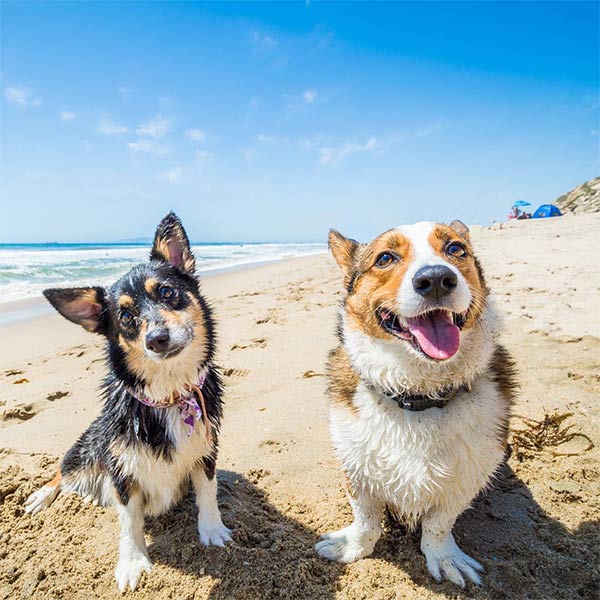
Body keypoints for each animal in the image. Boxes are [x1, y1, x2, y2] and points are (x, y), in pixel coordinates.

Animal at [24, 211, 230, 592]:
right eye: (126, 318)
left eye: (167, 292)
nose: (157, 338)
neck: (168, 393)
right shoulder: (120, 469)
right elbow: (129, 519)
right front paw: (132, 563)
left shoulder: (207, 448)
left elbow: (207, 492)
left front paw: (213, 530)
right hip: (88, 450)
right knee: (62, 471)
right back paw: (42, 496)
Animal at [314, 219, 516, 584]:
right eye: (385, 258)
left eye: (455, 249)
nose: (436, 279)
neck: (418, 394)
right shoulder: (356, 467)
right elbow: (366, 518)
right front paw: (352, 546)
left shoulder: (469, 475)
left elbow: (439, 523)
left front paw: (445, 558)